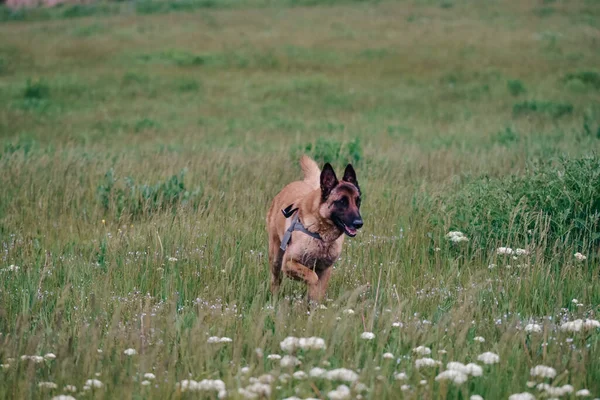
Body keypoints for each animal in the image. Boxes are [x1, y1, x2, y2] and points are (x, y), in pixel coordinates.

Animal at [266, 155, 360, 302]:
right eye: (342, 202)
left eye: (358, 201)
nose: (359, 223)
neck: (321, 235)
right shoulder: (288, 263)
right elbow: (313, 278)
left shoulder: (325, 270)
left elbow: (317, 291)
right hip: (276, 259)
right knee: (275, 280)